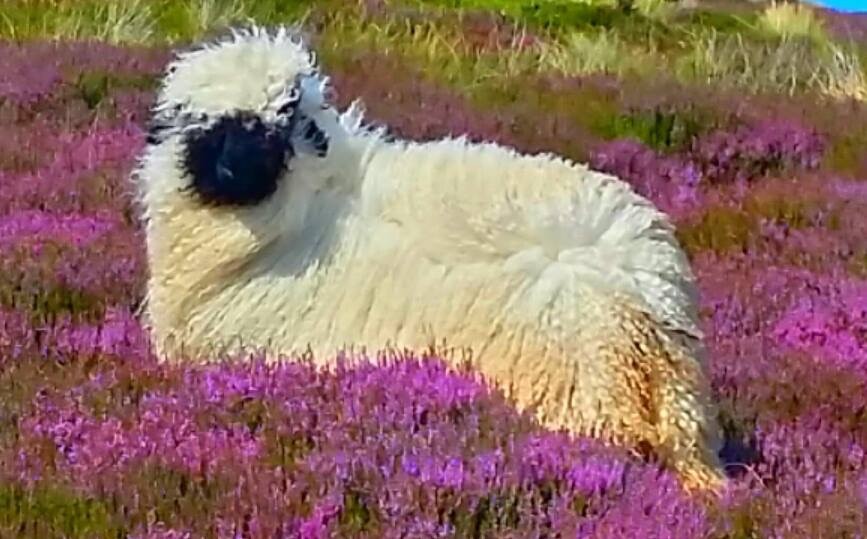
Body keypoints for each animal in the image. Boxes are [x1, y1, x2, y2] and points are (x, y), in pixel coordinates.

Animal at [133, 25, 727, 493]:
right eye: (208, 128)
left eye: (273, 126)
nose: (232, 171)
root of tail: (644, 297)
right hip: (677, 403)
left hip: (579, 396)